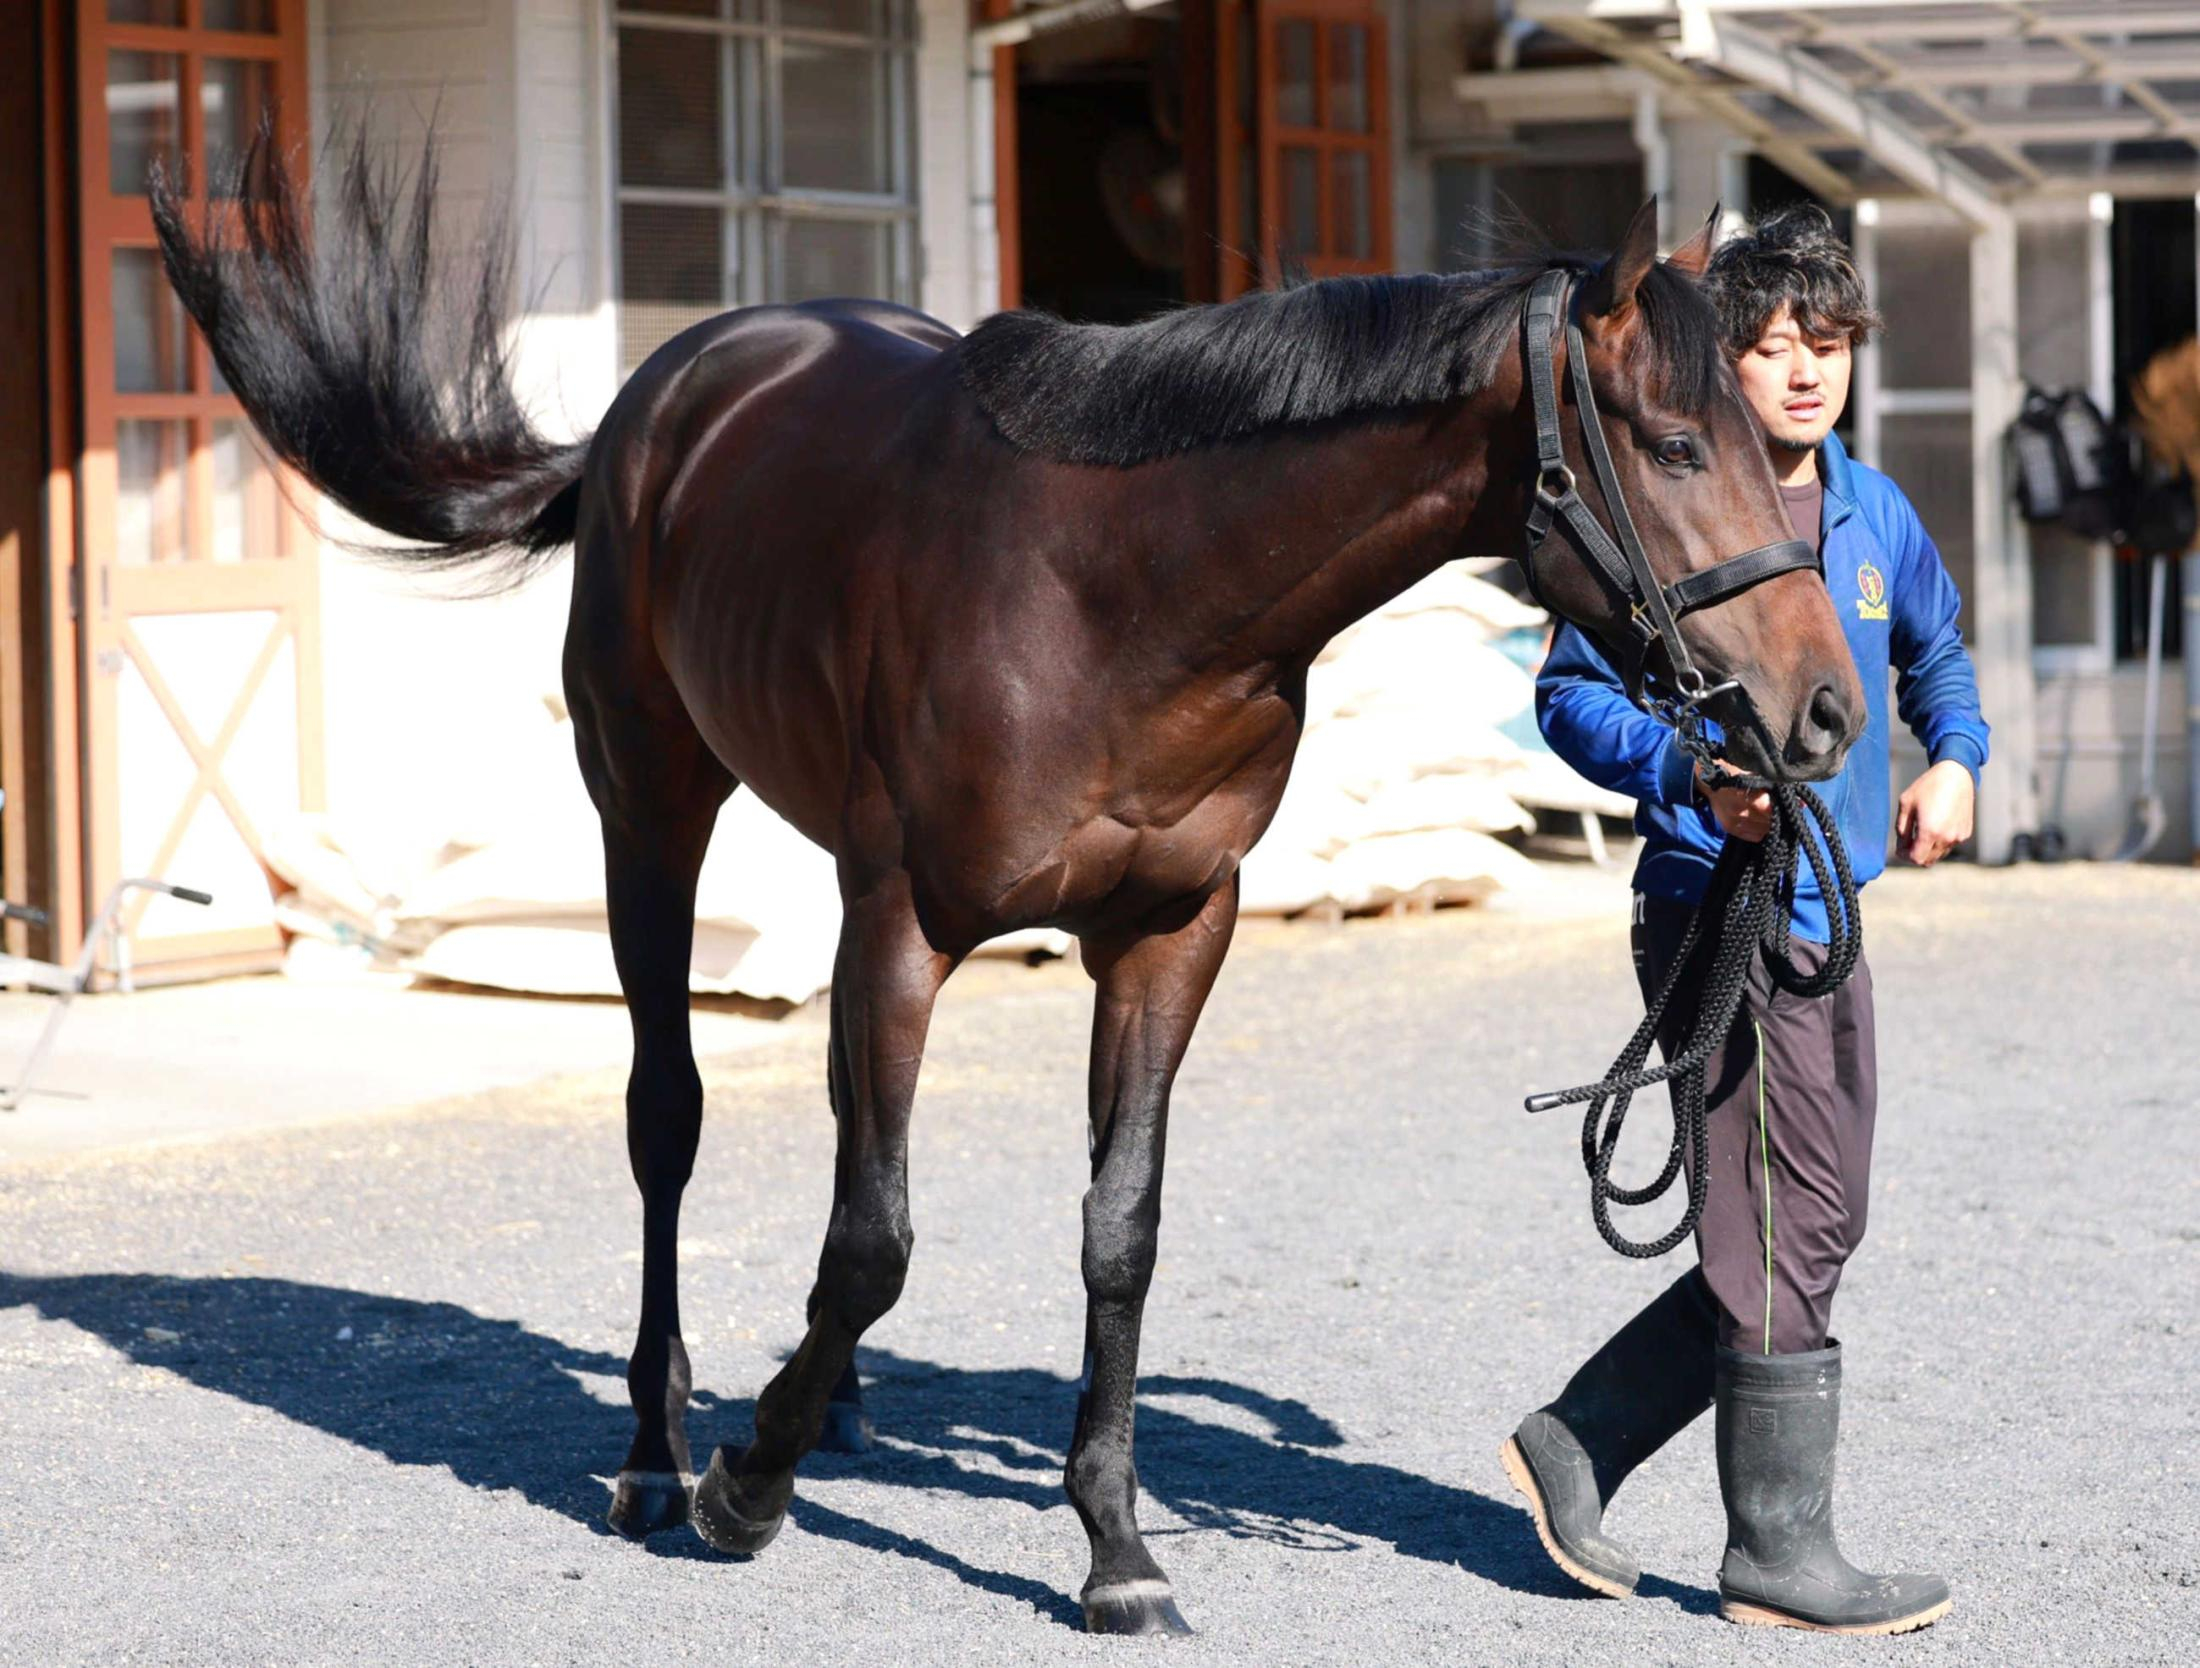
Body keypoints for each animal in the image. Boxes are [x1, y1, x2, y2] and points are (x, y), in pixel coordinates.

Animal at [155, 132, 1863, 1635]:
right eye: (1679, 445)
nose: (1825, 712)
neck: (1123, 593)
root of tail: (664, 398)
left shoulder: (1168, 931)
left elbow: (1116, 1227)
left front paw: (1114, 1551)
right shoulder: (912, 921)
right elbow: (875, 1239)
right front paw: (742, 1489)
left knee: (840, 1119)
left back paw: (826, 1405)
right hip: (651, 806)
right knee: (668, 1119)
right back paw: (659, 1450)